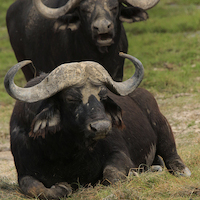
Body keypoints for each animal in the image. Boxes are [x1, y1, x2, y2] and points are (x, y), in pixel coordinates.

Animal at [3, 52, 191, 198]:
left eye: (103, 95)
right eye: (71, 98)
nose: (101, 127)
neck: (65, 151)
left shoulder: (119, 153)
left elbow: (111, 174)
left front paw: (133, 174)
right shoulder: (24, 172)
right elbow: (37, 189)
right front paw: (61, 187)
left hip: (161, 124)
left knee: (171, 154)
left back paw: (179, 170)